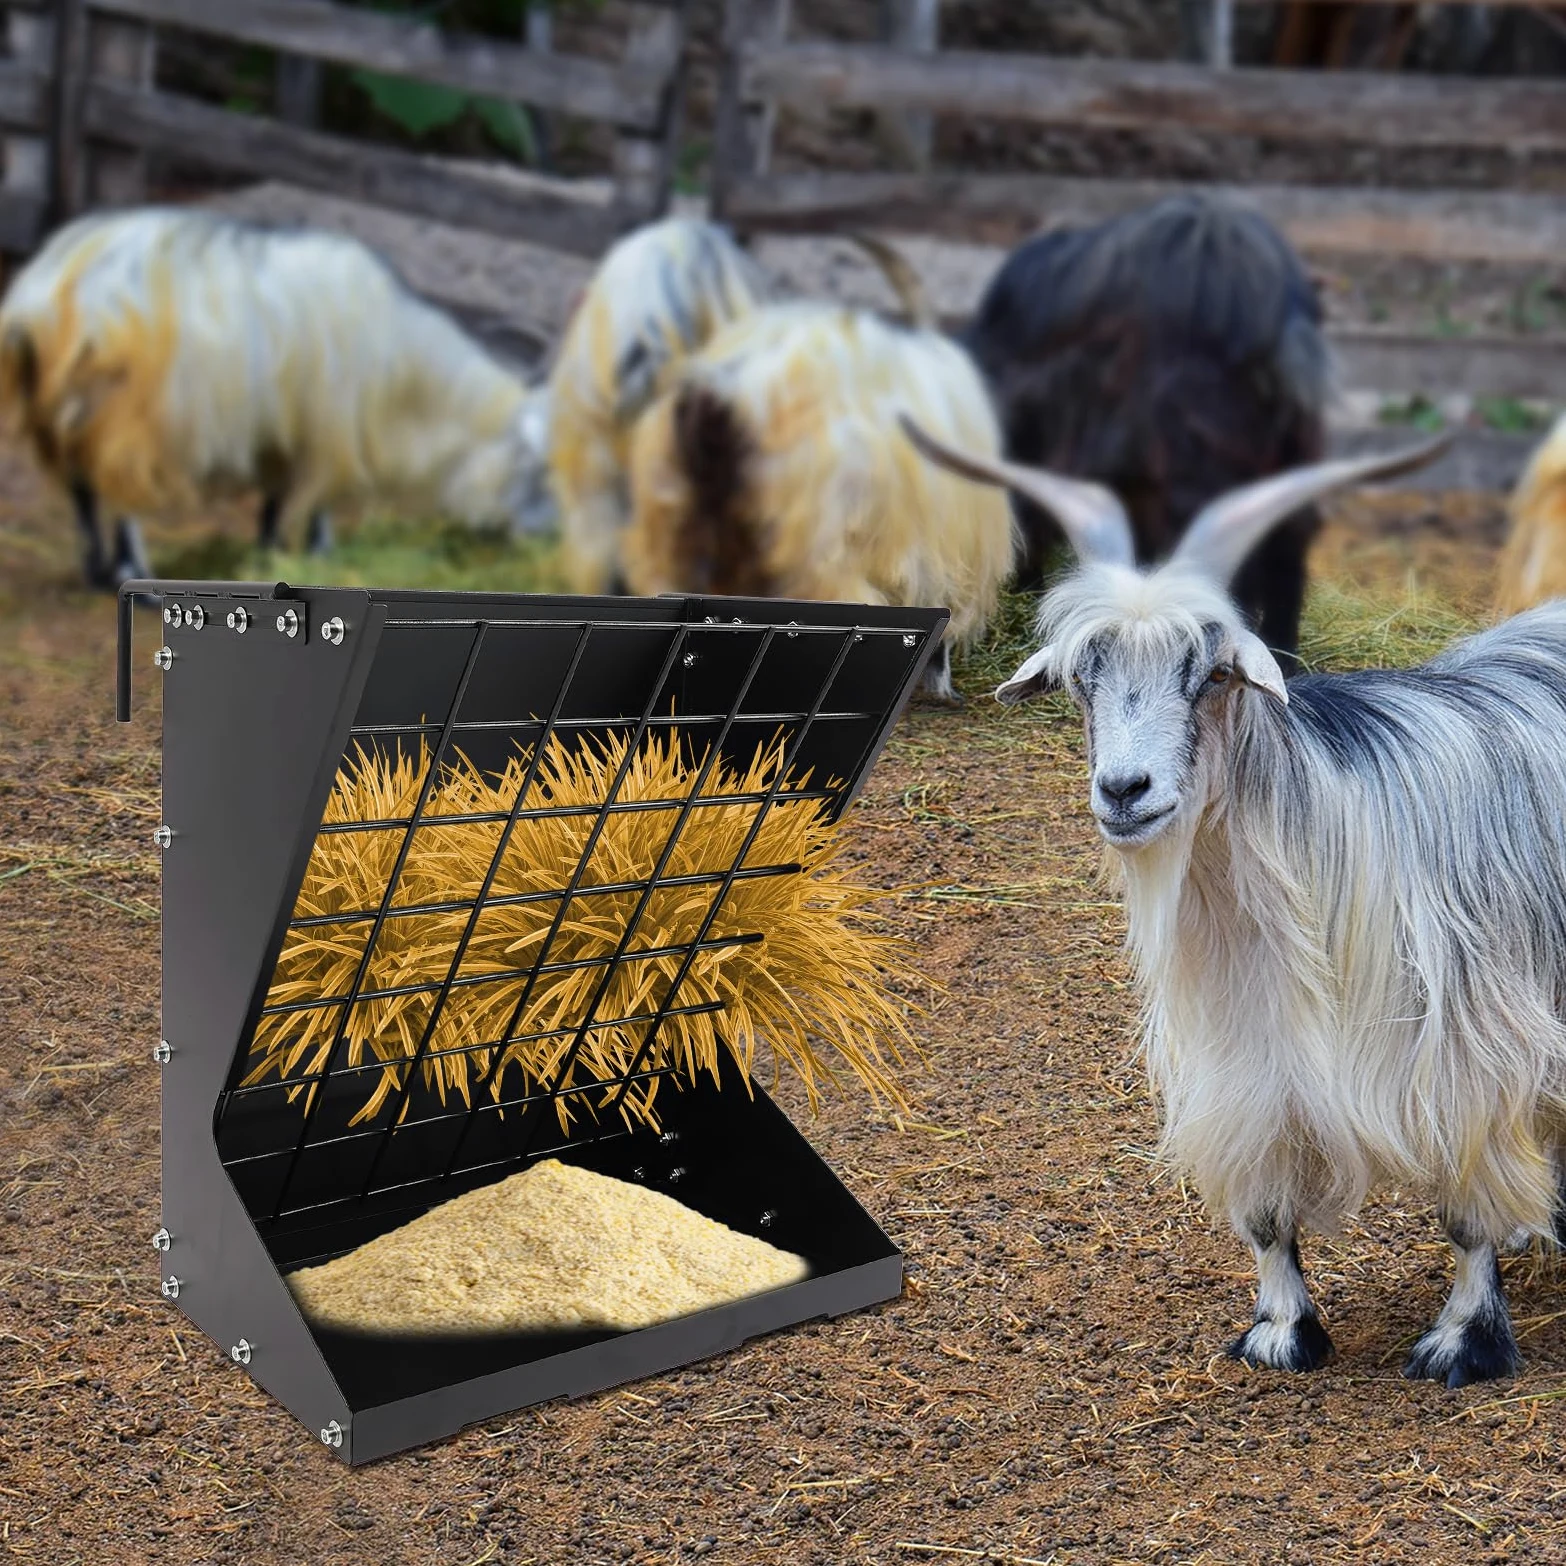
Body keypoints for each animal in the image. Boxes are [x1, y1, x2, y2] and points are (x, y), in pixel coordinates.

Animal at [0, 207, 551, 591]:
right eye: (542, 471)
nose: (545, 539)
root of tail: (39, 297)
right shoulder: (328, 428)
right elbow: (317, 499)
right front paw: (321, 554)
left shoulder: (281, 430)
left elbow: (275, 495)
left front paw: (267, 553)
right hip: (119, 413)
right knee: (116, 497)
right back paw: (133, 573)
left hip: (66, 413)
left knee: (82, 492)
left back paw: (95, 568)